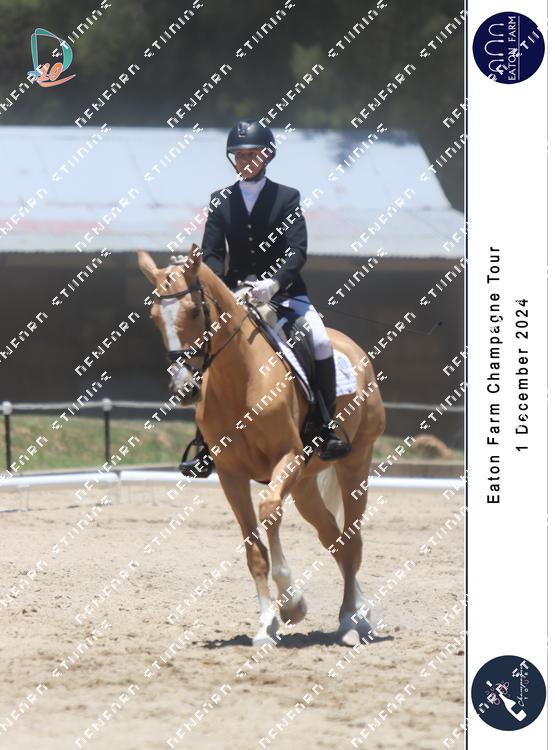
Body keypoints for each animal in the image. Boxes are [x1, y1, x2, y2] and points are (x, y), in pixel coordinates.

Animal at [138, 244, 386, 646]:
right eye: (155, 316)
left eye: (194, 311)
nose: (184, 388)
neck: (241, 380)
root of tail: (352, 347)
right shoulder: (230, 475)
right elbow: (254, 551)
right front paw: (267, 625)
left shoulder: (288, 459)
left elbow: (269, 509)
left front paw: (292, 604)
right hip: (304, 486)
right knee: (334, 538)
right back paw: (357, 612)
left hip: (355, 463)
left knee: (353, 538)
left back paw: (352, 622)